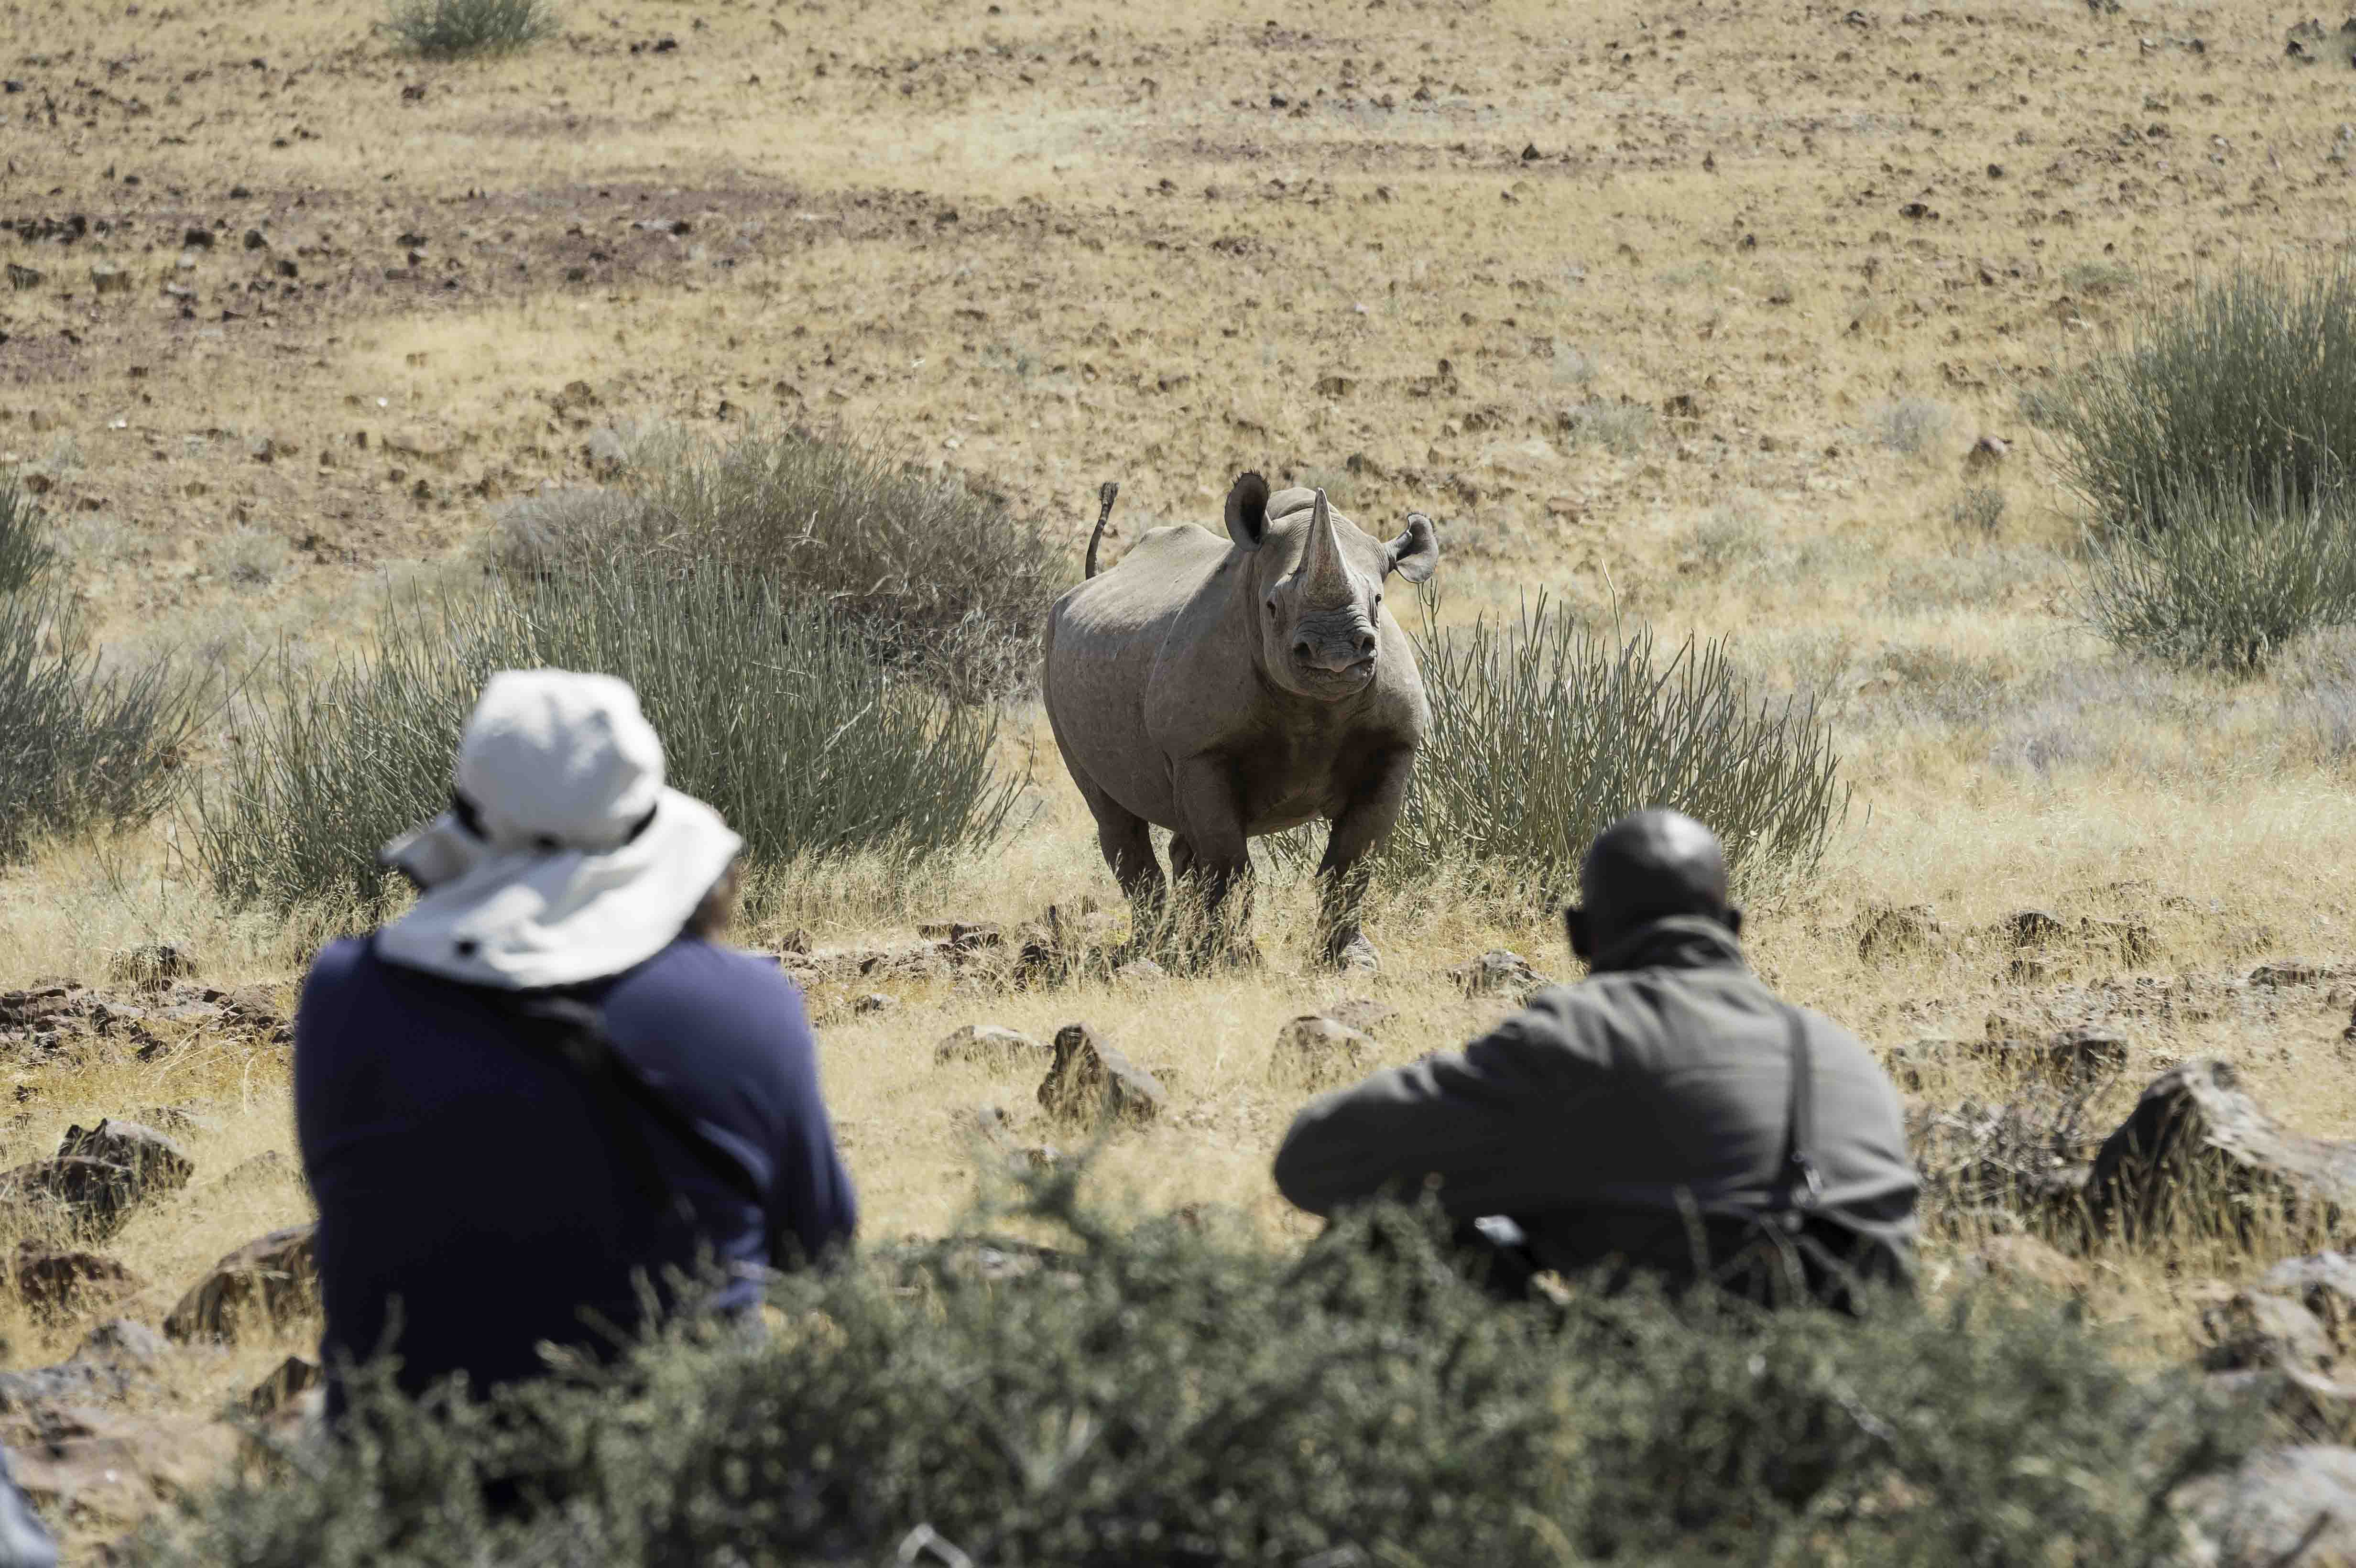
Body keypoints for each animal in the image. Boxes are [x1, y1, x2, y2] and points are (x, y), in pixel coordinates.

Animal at [1042, 472, 1440, 969]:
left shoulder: (1393, 745)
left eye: (1380, 601)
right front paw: (1234, 961)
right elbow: (1230, 864)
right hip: (1052, 653)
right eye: (1272, 607)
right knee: (1114, 816)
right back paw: (1150, 953)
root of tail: (1092, 582)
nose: (1335, 655)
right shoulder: (1200, 752)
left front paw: (1351, 962)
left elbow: (1351, 863)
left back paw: (1179, 948)